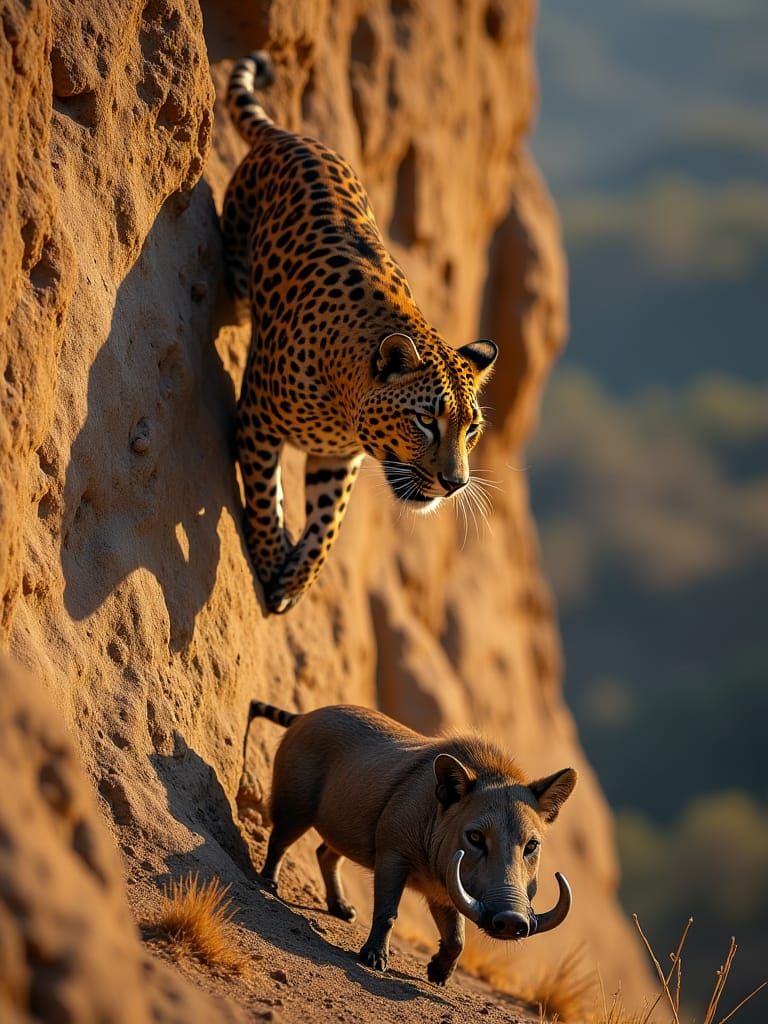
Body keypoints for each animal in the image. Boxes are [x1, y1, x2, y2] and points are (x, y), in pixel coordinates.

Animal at [223, 52, 498, 614]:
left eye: (472, 429)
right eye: (425, 421)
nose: (455, 483)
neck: (343, 403)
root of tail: (294, 137)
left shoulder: (338, 458)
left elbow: (327, 526)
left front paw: (295, 578)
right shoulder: (257, 418)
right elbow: (261, 496)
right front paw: (269, 553)